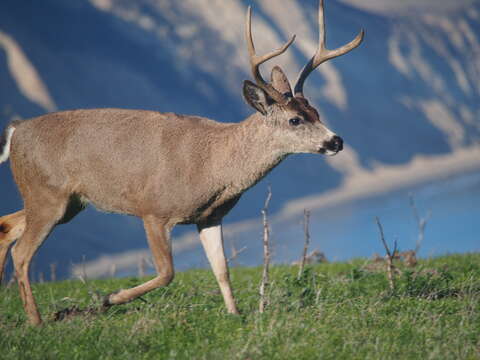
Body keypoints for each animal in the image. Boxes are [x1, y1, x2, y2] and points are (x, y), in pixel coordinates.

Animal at [0, 0, 364, 324]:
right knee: (22, 253)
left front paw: (235, 315)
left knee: (6, 227)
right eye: (294, 120)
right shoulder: (153, 209)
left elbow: (222, 269)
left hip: (66, 202)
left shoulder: (209, 216)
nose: (336, 141)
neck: (215, 164)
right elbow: (167, 272)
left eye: (315, 111)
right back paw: (37, 321)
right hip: (48, 195)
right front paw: (110, 298)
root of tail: (16, 130)